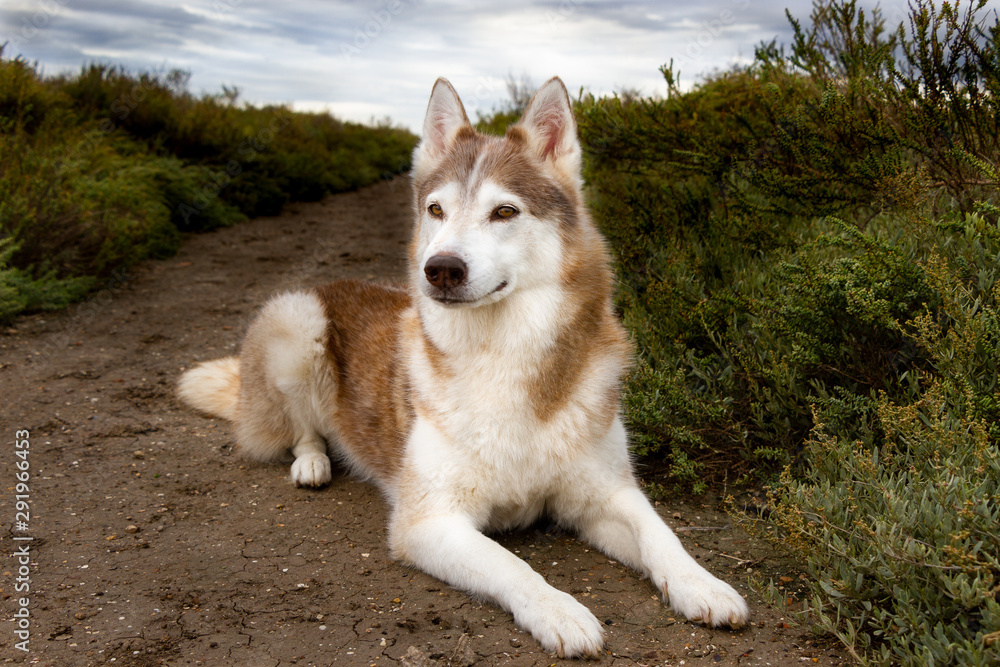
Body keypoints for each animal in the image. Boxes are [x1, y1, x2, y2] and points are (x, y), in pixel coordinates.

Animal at [180, 77, 748, 656]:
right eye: (436, 210)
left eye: (505, 212)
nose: (441, 269)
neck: (502, 354)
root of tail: (333, 282)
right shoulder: (429, 521)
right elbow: (512, 564)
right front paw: (559, 610)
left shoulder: (605, 493)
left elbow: (661, 533)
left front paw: (702, 584)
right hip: (298, 323)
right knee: (302, 431)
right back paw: (313, 463)